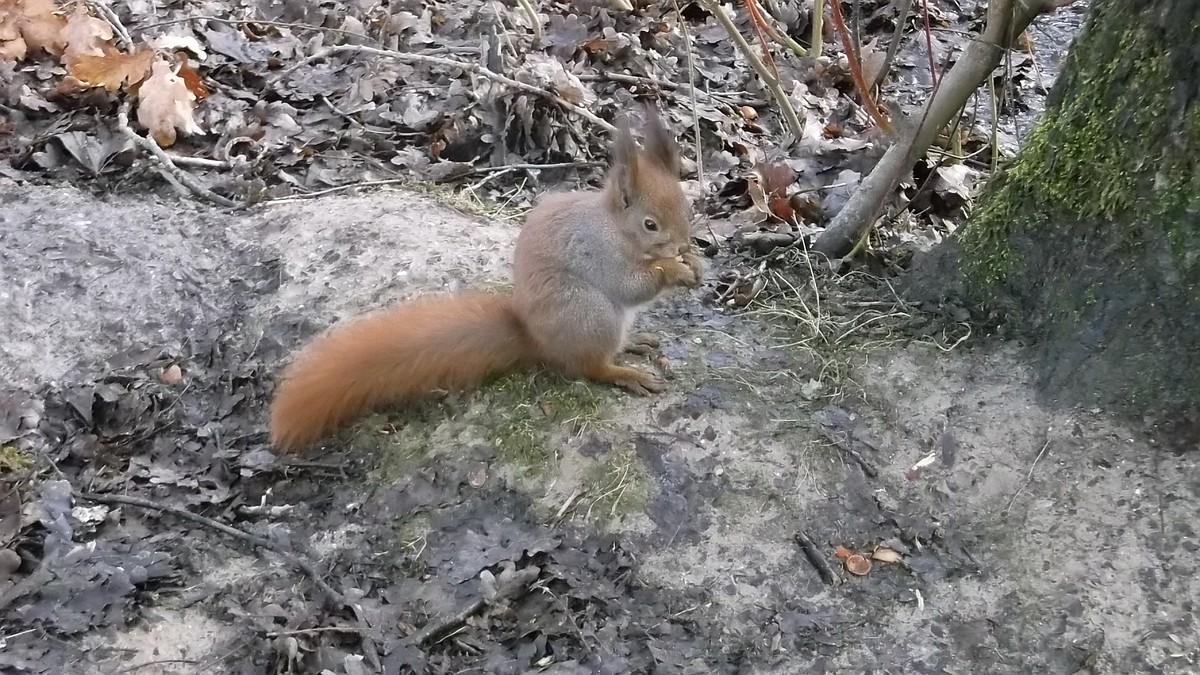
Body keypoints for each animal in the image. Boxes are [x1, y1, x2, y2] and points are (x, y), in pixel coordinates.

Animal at [270, 110, 700, 451]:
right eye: (650, 224)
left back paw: (636, 343)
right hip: (589, 312)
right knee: (591, 367)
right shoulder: (598, 253)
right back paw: (626, 374)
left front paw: (694, 263)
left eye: (687, 208)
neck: (616, 229)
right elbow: (630, 285)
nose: (684, 244)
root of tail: (536, 341)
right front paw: (675, 270)